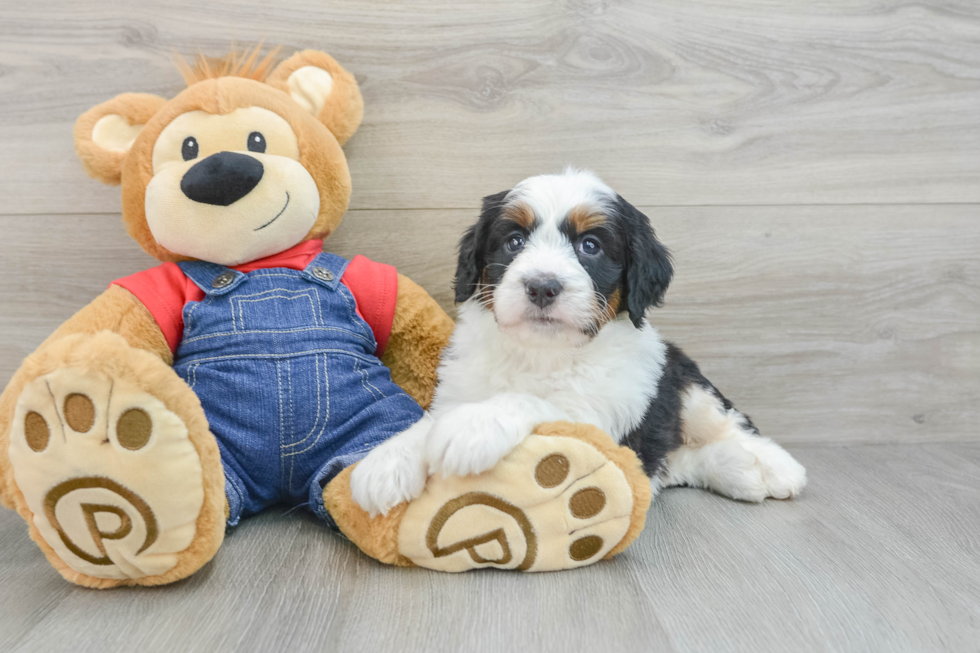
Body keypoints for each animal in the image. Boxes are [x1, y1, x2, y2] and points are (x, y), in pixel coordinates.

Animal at [350, 168, 804, 516]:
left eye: (591, 246)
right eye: (514, 241)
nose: (542, 287)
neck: (542, 354)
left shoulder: (607, 415)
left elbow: (542, 404)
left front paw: (473, 426)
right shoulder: (461, 385)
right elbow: (430, 421)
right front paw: (387, 461)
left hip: (681, 377)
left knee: (727, 422)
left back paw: (773, 467)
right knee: (671, 462)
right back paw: (739, 470)